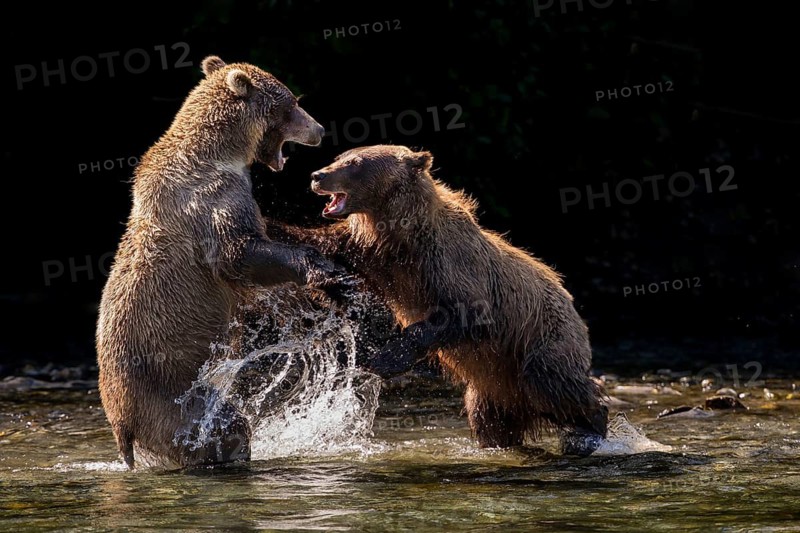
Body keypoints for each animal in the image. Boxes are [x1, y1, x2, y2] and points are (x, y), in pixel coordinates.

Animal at [96, 55, 343, 470]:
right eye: (292, 102)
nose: (320, 129)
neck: (220, 153)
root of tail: (119, 425)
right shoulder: (211, 200)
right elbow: (239, 253)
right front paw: (323, 270)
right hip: (167, 396)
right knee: (221, 424)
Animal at [264, 144, 609, 454]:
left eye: (355, 162)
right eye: (340, 157)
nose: (317, 175)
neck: (399, 234)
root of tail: (572, 302)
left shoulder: (449, 264)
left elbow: (462, 313)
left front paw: (385, 358)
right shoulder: (371, 254)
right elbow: (317, 242)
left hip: (540, 339)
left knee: (552, 383)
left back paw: (591, 429)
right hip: (492, 386)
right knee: (489, 418)